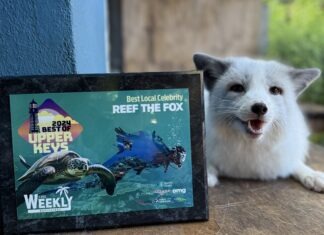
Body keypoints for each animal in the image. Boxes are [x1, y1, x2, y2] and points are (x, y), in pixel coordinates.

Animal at [192, 53, 324, 193]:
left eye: (275, 90)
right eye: (237, 88)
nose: (260, 107)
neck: (250, 146)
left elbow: (295, 163)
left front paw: (312, 174)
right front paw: (207, 174)